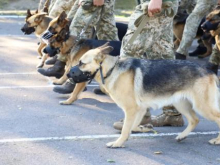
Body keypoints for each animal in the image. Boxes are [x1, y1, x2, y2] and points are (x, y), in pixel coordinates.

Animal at [66, 43, 220, 148]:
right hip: (181, 104)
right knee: (194, 120)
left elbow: (125, 129)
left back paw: (216, 140)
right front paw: (143, 128)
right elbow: (132, 127)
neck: (111, 69)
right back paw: (182, 136)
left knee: (214, 118)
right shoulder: (139, 109)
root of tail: (209, 71)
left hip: (203, 107)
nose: (67, 74)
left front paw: (118, 143)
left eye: (81, 63)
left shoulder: (131, 109)